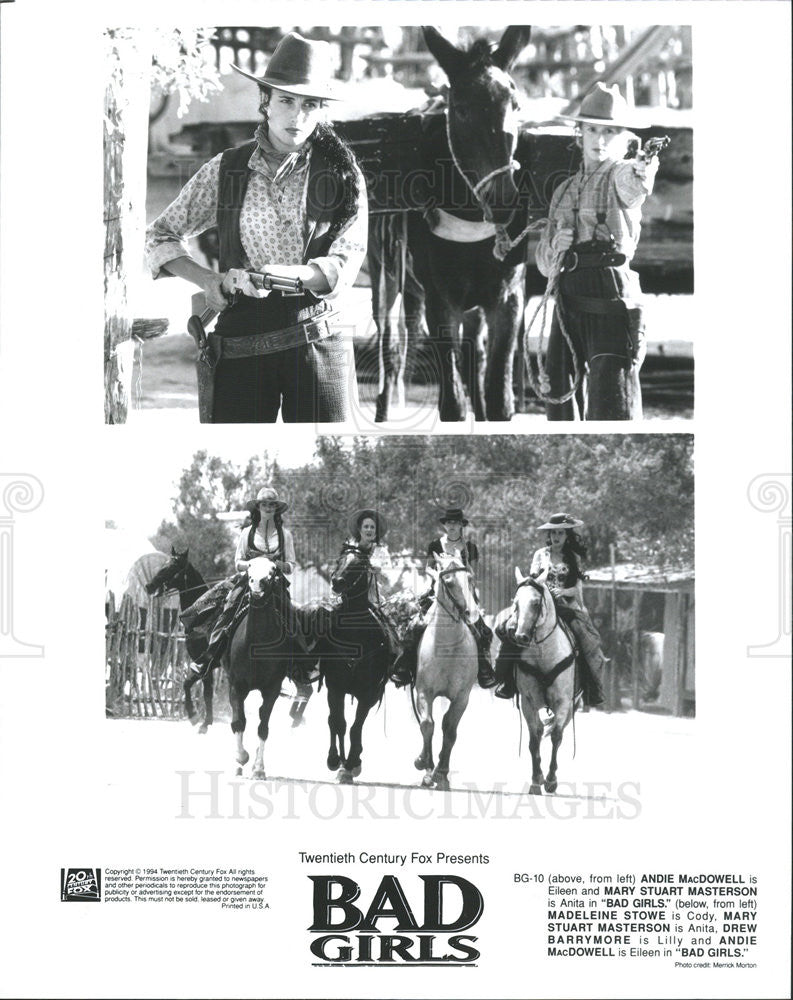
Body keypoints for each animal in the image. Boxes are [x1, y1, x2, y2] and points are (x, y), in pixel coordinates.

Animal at [144, 548, 215, 736]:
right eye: (164, 563)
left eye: (173, 567)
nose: (149, 586)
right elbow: (205, 691)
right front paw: (205, 721)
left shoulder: (205, 661)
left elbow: (189, 684)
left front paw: (195, 717)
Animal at [314, 548, 392, 780]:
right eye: (339, 561)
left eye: (358, 564)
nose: (336, 581)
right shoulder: (335, 687)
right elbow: (338, 722)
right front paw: (334, 760)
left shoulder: (369, 693)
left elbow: (356, 727)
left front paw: (352, 762)